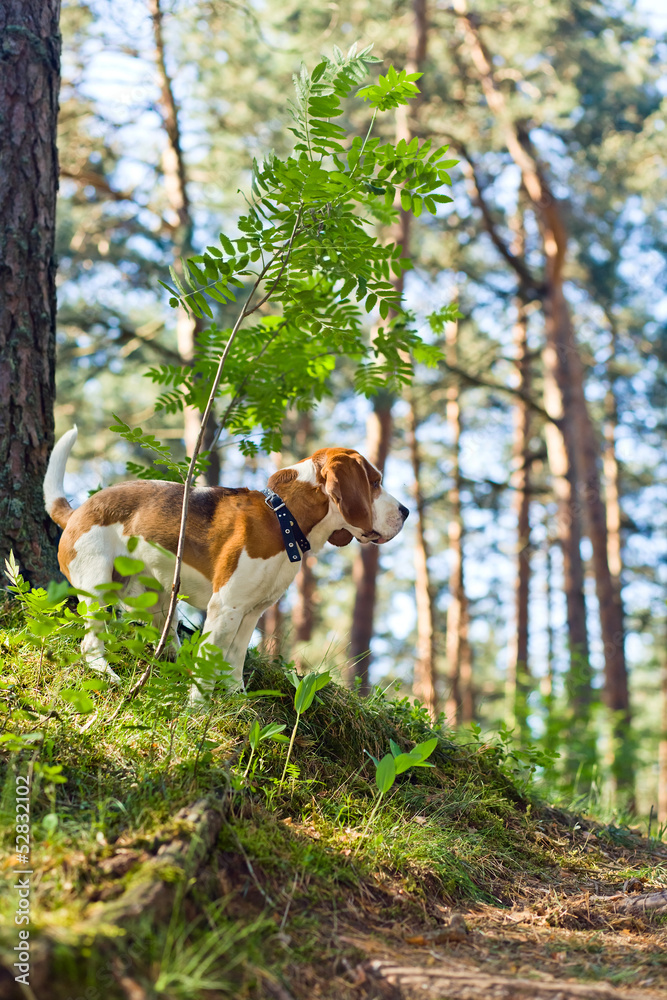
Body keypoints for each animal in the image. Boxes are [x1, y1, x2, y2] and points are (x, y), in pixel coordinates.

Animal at [43, 428, 408, 696]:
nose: (406, 512)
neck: (283, 519)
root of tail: (77, 512)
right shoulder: (225, 607)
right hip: (98, 587)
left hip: (155, 598)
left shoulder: (251, 612)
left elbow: (234, 662)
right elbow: (209, 667)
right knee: (90, 644)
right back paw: (107, 675)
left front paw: (236, 701)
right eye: (375, 482)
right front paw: (198, 709)